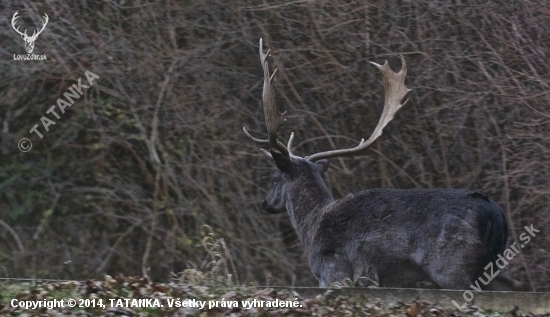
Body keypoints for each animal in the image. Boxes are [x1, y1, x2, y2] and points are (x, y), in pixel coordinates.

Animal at [244, 39, 512, 288]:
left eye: (275, 178)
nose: (265, 203)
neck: (313, 227)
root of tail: (493, 213)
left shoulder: (333, 273)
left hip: (451, 268)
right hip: (491, 267)